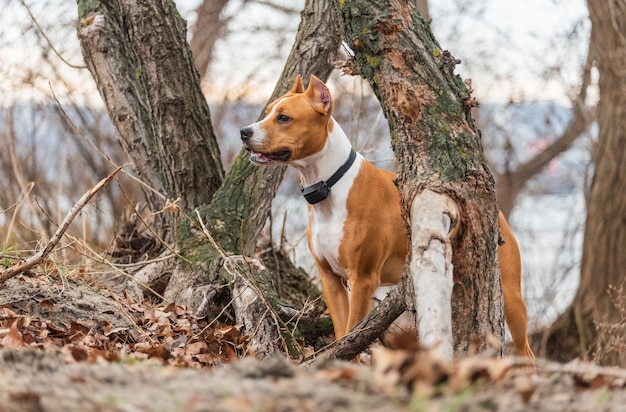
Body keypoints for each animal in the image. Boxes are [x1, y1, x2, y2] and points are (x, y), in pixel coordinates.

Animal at [239, 75, 532, 358]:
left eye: (284, 118)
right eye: (268, 112)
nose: (244, 132)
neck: (329, 186)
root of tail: (499, 214)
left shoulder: (362, 280)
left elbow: (351, 334)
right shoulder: (331, 280)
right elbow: (341, 334)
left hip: (510, 296)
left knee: (526, 351)